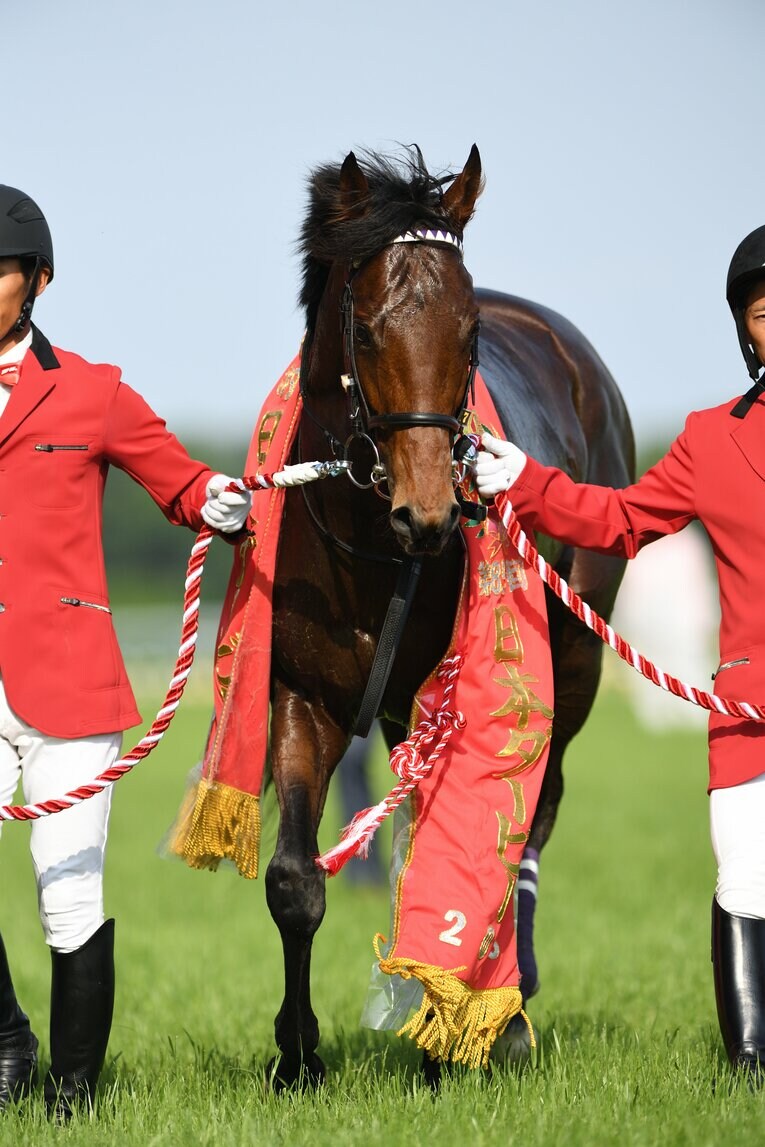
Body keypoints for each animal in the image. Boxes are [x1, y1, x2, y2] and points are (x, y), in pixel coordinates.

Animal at [267, 145, 635, 1088]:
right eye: (365, 330)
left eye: (468, 334)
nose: (429, 513)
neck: (370, 548)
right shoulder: (305, 693)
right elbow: (294, 877)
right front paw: (298, 1054)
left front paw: (452, 1024)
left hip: (574, 658)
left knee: (534, 816)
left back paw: (504, 1011)